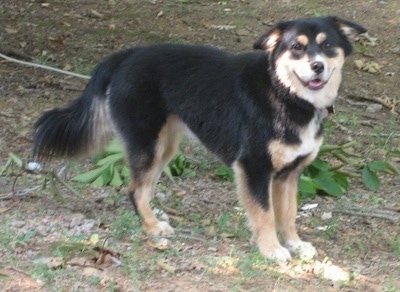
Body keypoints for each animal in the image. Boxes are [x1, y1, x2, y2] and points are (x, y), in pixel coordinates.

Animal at [32, 16, 368, 262]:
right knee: (134, 189)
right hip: (147, 143)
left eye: (328, 46)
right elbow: (265, 215)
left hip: (165, 146)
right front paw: (272, 250)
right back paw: (152, 227)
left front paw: (295, 244)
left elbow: (287, 215)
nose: (317, 66)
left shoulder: (289, 174)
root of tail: (125, 56)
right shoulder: (254, 168)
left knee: (144, 187)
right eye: (297, 48)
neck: (283, 92)